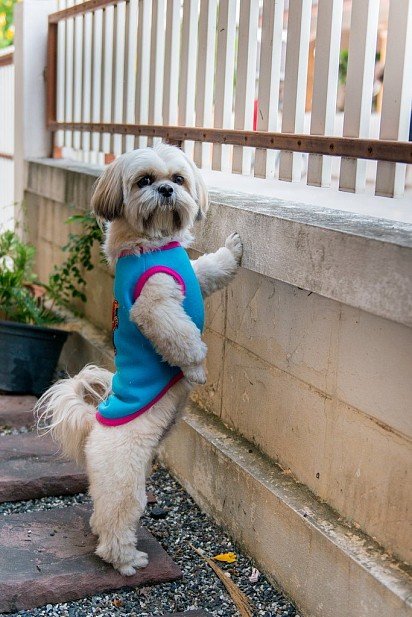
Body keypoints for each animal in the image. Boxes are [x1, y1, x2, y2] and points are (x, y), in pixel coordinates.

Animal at [36, 142, 241, 576]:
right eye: (144, 180)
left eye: (178, 179)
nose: (165, 189)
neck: (151, 244)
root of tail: (93, 423)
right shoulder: (154, 303)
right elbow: (181, 335)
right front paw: (197, 367)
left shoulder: (191, 278)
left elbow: (208, 269)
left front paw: (234, 252)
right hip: (125, 481)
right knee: (115, 522)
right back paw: (126, 560)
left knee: (101, 516)